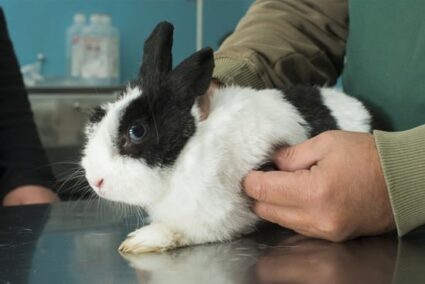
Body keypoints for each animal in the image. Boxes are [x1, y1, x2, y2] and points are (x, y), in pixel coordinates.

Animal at [80, 21, 372, 253]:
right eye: (99, 114)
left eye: (137, 131)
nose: (96, 182)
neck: (187, 153)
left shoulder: (219, 216)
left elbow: (189, 231)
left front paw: (142, 240)